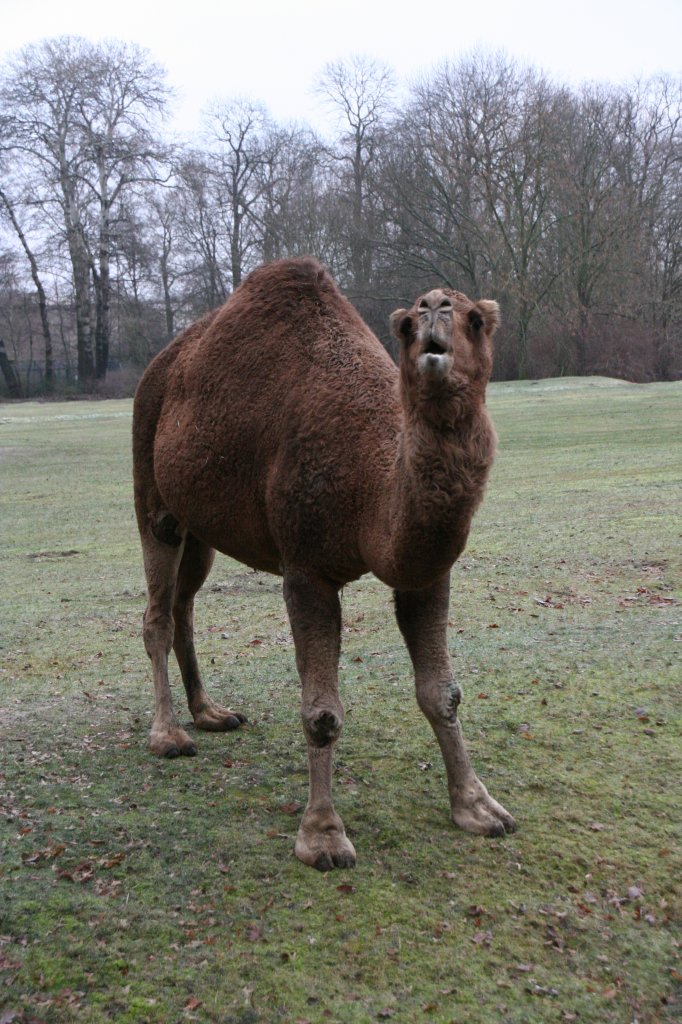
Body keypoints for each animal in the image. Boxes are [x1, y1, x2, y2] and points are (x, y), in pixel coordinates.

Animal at [131, 258, 516, 872]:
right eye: (406, 326)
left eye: (476, 320)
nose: (434, 308)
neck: (369, 485)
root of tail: (157, 368)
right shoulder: (305, 567)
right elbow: (322, 712)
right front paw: (322, 836)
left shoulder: (424, 572)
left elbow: (442, 692)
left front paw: (478, 808)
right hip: (153, 494)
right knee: (157, 614)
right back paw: (168, 736)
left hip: (202, 524)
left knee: (184, 603)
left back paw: (211, 712)